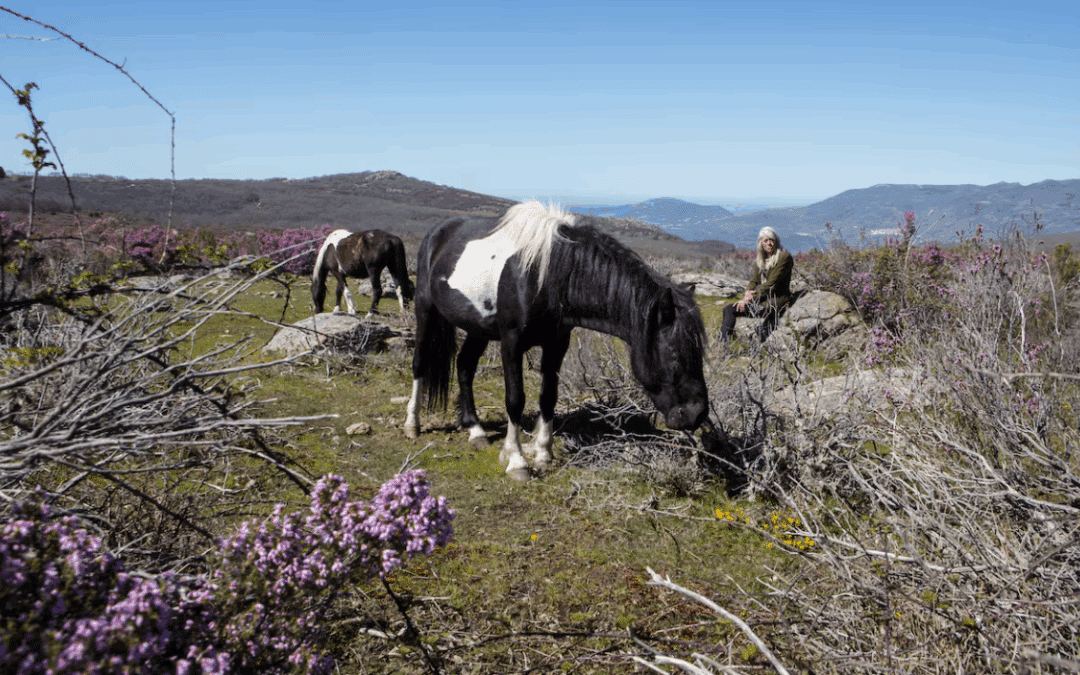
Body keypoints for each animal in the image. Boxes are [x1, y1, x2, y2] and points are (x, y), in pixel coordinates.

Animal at [403, 200, 709, 480]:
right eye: (675, 355)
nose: (697, 415)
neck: (547, 275)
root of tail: (437, 234)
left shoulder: (557, 343)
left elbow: (548, 397)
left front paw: (543, 454)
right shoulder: (511, 342)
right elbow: (515, 399)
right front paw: (517, 461)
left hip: (478, 328)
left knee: (465, 365)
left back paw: (475, 430)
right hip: (425, 309)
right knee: (420, 363)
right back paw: (412, 425)